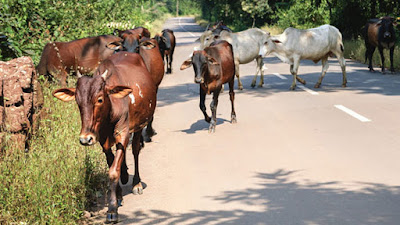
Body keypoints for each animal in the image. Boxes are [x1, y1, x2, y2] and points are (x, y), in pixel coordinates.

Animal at [50, 51, 156, 222]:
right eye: (78, 102)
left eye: (99, 99)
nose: (85, 139)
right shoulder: (101, 140)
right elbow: (112, 162)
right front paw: (118, 195)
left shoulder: (123, 132)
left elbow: (113, 171)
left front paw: (112, 210)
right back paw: (125, 175)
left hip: (140, 125)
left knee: (135, 150)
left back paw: (136, 183)